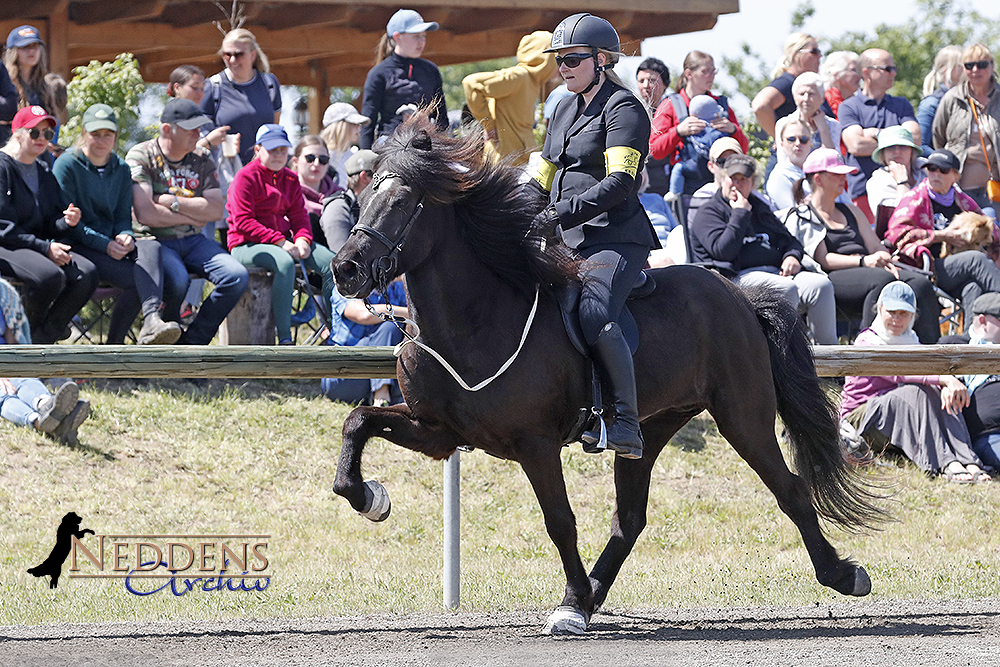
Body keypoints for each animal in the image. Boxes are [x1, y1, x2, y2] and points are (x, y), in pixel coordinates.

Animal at [330, 113, 884, 636]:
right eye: (363, 195)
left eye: (403, 202)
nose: (344, 270)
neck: (475, 320)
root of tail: (739, 295)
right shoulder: (438, 432)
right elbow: (358, 421)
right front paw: (368, 497)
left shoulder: (534, 445)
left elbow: (560, 522)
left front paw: (570, 603)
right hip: (650, 428)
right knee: (630, 518)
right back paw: (593, 594)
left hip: (742, 417)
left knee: (789, 490)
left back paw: (843, 574)